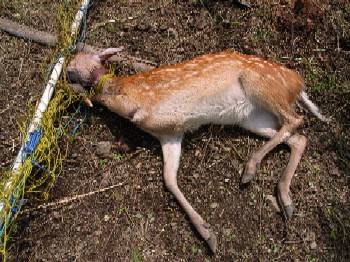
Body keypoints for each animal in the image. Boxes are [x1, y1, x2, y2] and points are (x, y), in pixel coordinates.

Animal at [67, 47, 330, 252]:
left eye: (73, 62)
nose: (67, 73)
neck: (128, 98)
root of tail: (298, 83)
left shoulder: (167, 117)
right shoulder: (170, 134)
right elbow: (169, 179)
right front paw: (207, 233)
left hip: (262, 85)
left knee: (295, 120)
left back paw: (250, 169)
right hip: (250, 118)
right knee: (298, 138)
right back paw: (285, 200)